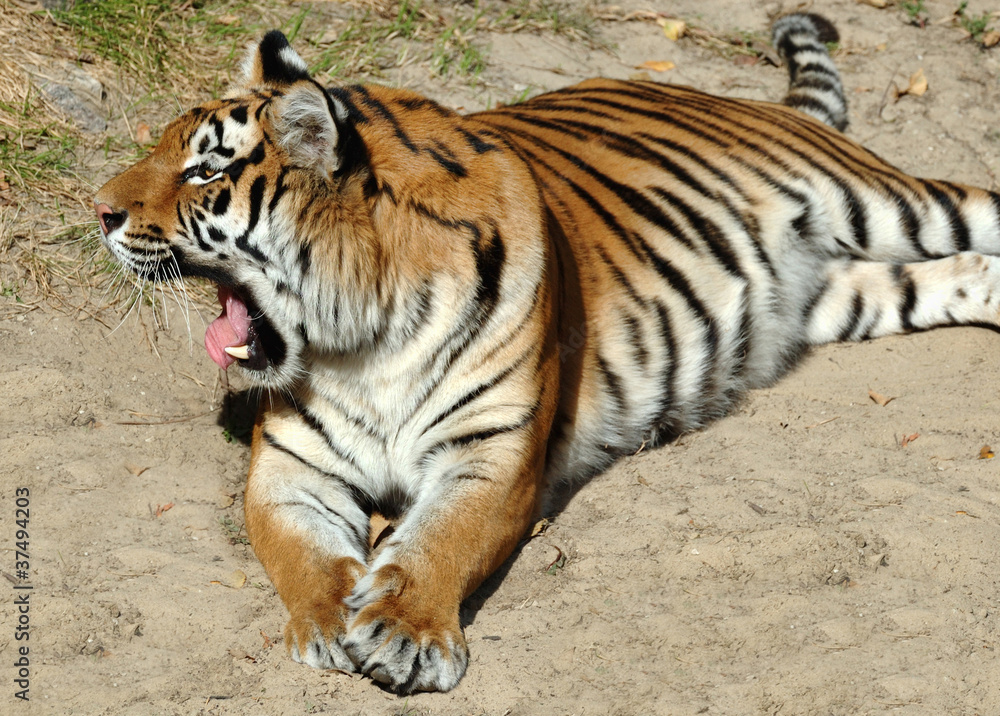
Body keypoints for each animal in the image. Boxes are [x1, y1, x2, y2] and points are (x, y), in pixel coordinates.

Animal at [93, 13, 1000, 693]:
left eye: (203, 172)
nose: (98, 210)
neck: (361, 341)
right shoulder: (290, 469)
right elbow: (301, 553)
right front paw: (327, 618)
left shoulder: (492, 455)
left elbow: (440, 542)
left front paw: (402, 632)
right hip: (850, 293)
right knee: (967, 276)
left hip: (891, 200)